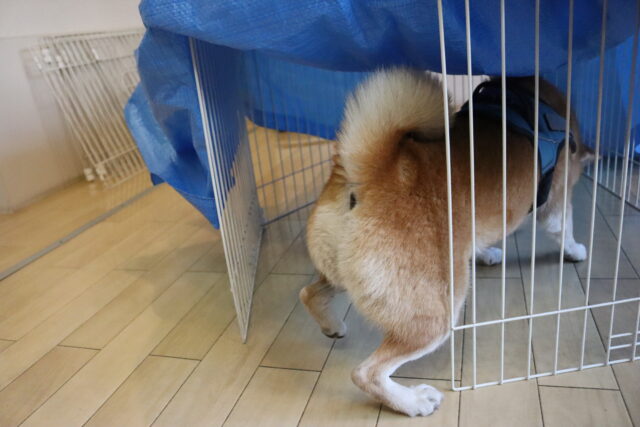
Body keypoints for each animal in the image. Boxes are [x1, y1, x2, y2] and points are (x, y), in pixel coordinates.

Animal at [300, 68, 594, 416]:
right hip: (436, 316)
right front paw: (576, 251)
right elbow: (566, 228)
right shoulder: (556, 200)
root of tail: (372, 172)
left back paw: (332, 326)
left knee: (310, 294)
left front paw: (486, 253)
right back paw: (413, 401)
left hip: (342, 273)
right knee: (366, 373)